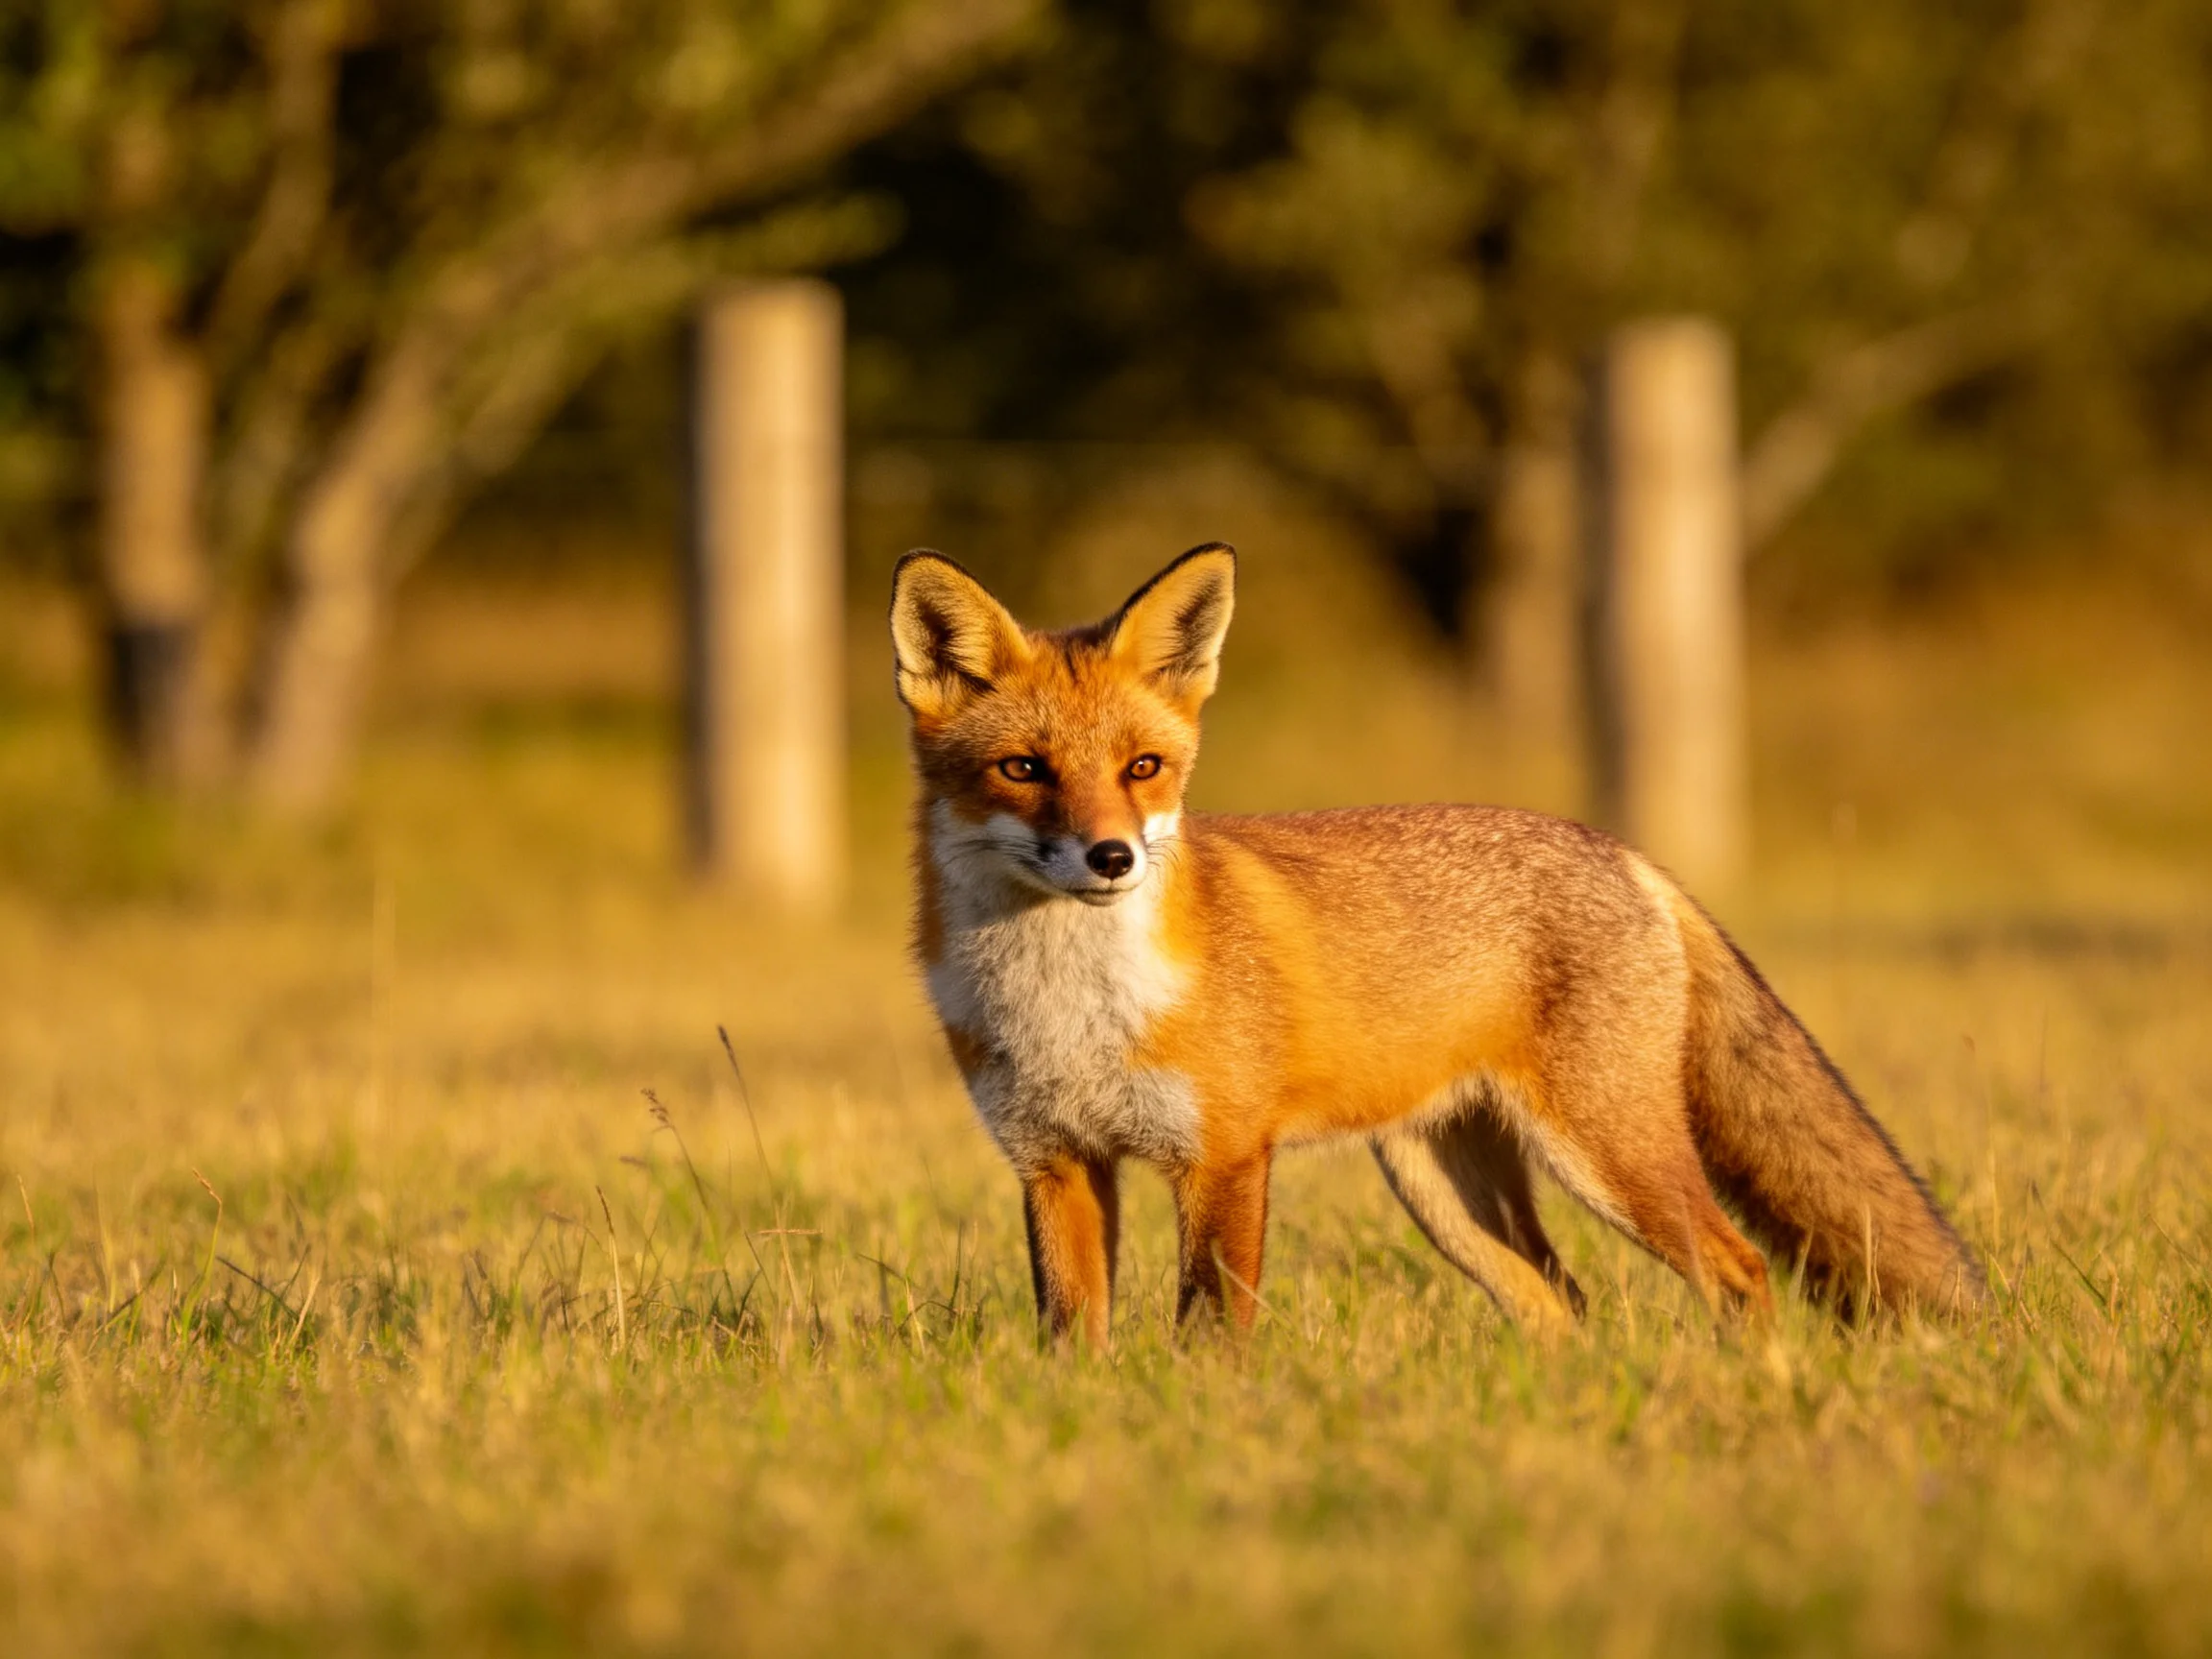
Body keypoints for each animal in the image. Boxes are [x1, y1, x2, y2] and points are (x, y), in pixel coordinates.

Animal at [890, 542, 1986, 1349]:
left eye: (1143, 768)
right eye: (1024, 769)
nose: (1112, 857)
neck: (1072, 1006)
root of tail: (1625, 851)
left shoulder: (1225, 1158)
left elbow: (1210, 1335)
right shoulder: (1054, 1162)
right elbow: (1072, 1337)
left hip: (1605, 1154)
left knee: (1738, 1267)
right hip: (1445, 1190)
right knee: (1561, 1306)